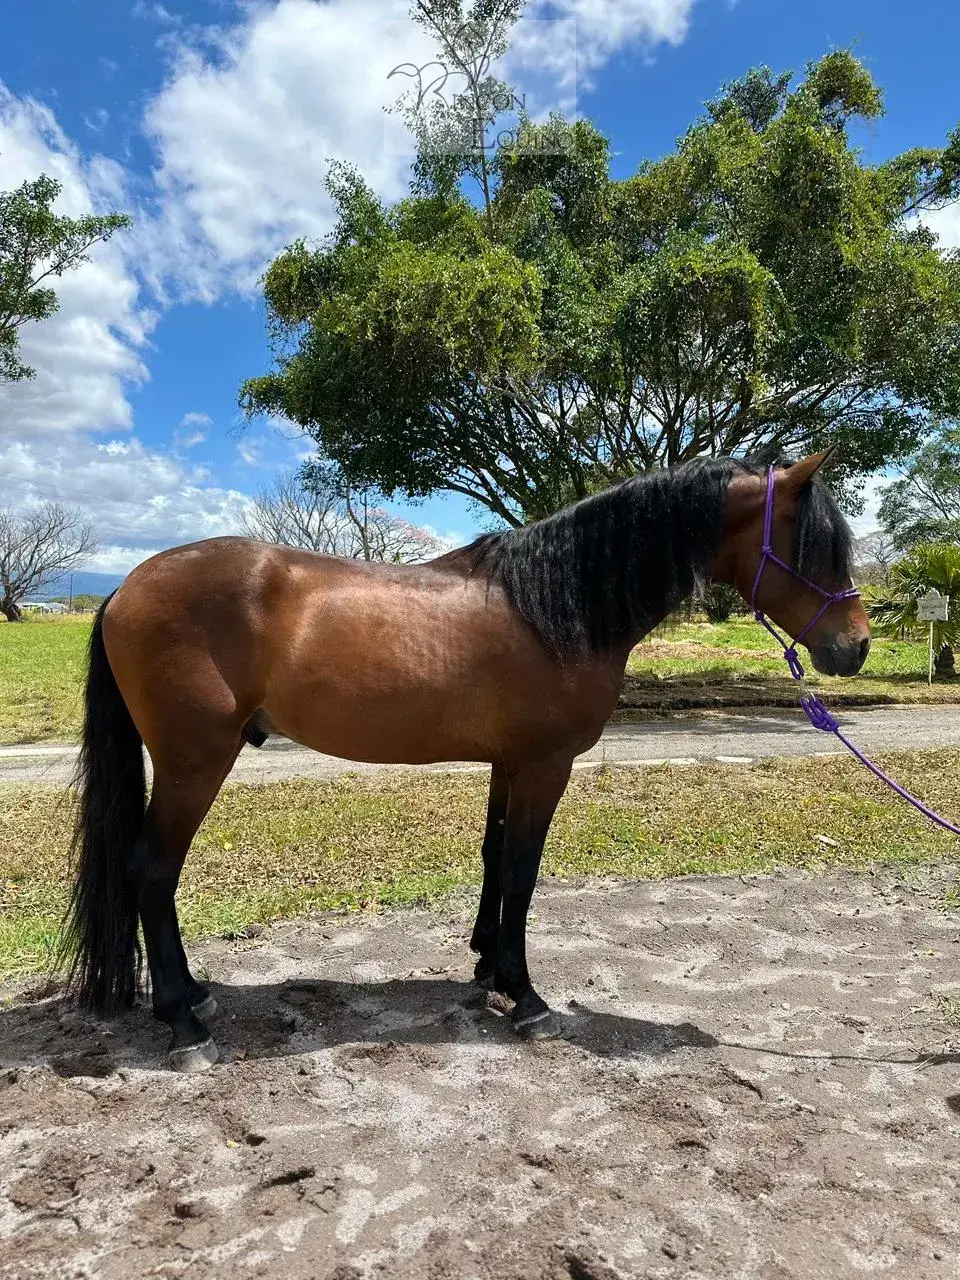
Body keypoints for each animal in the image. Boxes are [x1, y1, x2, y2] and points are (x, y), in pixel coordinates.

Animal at [60, 452, 870, 1071]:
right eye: (812, 547)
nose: (856, 647)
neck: (556, 607)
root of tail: (124, 587)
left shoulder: (508, 764)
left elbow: (492, 857)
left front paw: (487, 967)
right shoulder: (545, 765)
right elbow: (521, 873)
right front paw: (527, 998)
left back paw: (194, 996)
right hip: (194, 764)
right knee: (151, 873)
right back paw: (185, 1025)